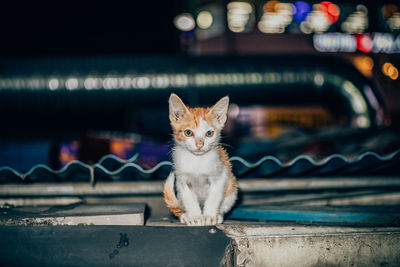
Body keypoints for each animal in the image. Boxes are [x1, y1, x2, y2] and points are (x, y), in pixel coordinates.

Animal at [162, 94, 238, 226]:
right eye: (188, 132)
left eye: (209, 133)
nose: (199, 144)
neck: (197, 160)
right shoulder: (182, 181)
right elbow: (189, 199)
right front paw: (195, 217)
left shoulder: (221, 175)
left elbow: (214, 196)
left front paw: (210, 216)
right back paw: (185, 216)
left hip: (232, 189)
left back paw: (219, 215)